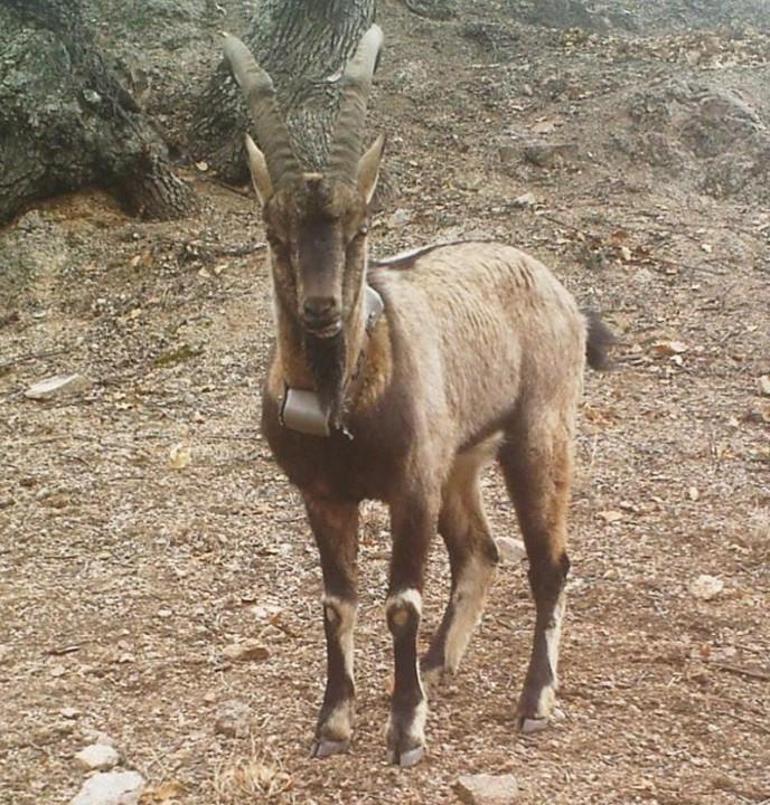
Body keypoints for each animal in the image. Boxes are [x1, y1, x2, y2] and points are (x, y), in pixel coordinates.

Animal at [222, 25, 612, 768]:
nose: (321, 310)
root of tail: (564, 297)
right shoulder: (325, 496)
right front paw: (333, 723)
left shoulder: (409, 488)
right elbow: (336, 603)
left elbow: (401, 601)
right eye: (273, 235)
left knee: (552, 563)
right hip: (458, 459)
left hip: (539, 431)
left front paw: (405, 731)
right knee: (481, 550)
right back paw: (438, 661)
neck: (344, 404)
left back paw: (535, 700)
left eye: (361, 228)